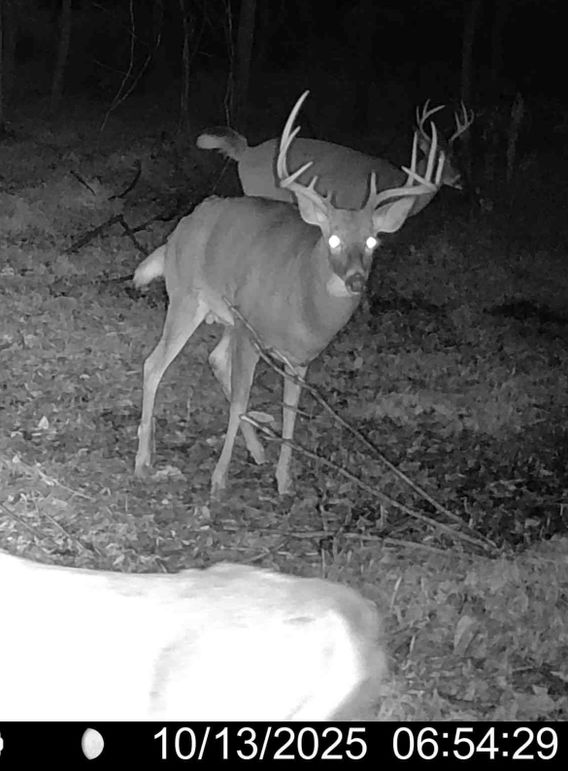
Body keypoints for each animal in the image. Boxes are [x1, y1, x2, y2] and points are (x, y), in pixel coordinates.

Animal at [134, 91, 444, 496]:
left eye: (373, 241)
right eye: (333, 238)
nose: (356, 280)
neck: (301, 301)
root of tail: (182, 226)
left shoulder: (300, 357)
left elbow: (289, 411)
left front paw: (284, 480)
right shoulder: (251, 333)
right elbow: (240, 401)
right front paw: (219, 479)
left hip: (228, 316)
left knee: (214, 359)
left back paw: (257, 452)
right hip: (187, 298)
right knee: (155, 364)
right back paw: (143, 460)